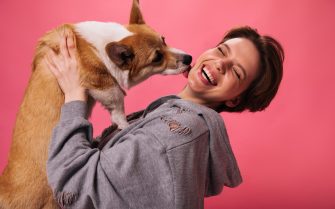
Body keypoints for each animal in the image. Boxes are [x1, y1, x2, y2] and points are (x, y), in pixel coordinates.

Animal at [0, 0, 192, 208]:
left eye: (164, 40)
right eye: (157, 58)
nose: (188, 58)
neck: (101, 45)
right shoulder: (102, 83)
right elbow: (117, 101)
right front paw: (124, 125)